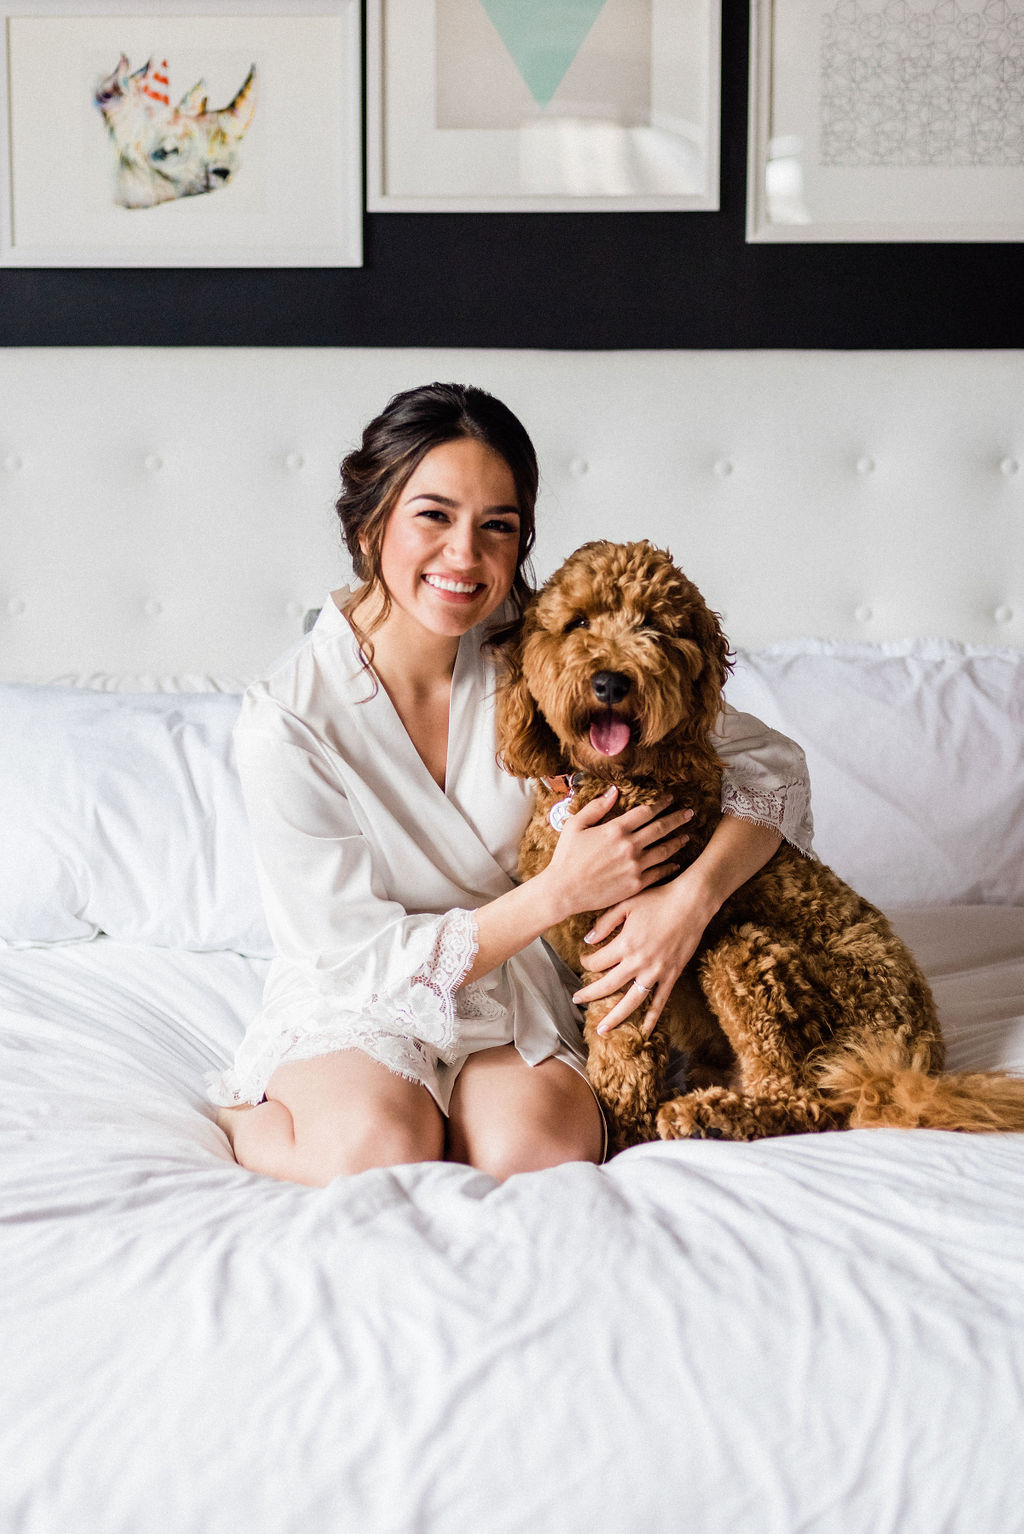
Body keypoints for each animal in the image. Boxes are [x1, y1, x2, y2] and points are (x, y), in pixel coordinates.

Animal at [496, 539, 1024, 1153]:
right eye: (577, 622)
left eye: (653, 625)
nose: (610, 683)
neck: (619, 780)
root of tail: (914, 1061)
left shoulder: (625, 952)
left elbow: (622, 1055)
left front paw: (622, 1137)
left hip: (747, 957)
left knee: (806, 1099)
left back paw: (712, 1117)